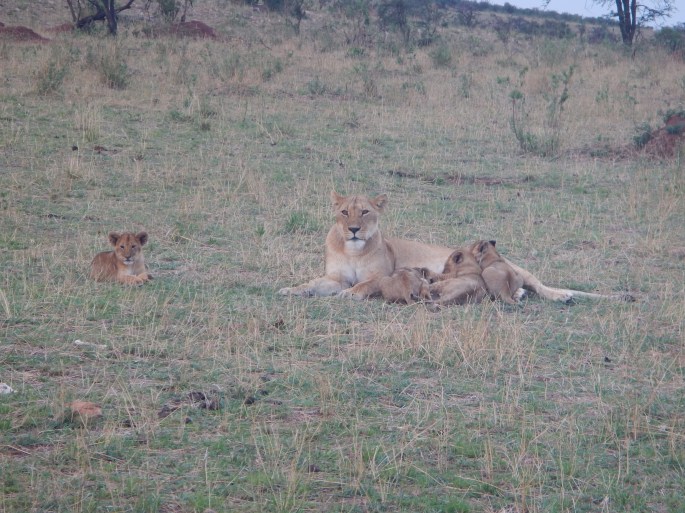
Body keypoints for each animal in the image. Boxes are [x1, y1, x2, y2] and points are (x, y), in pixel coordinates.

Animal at [278, 191, 628, 302]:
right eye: (343, 212)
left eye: (365, 212)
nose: (353, 229)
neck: (353, 248)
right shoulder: (334, 277)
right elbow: (314, 283)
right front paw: (291, 290)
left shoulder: (382, 275)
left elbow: (363, 284)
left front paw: (350, 294)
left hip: (518, 268)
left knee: (541, 285)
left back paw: (560, 296)